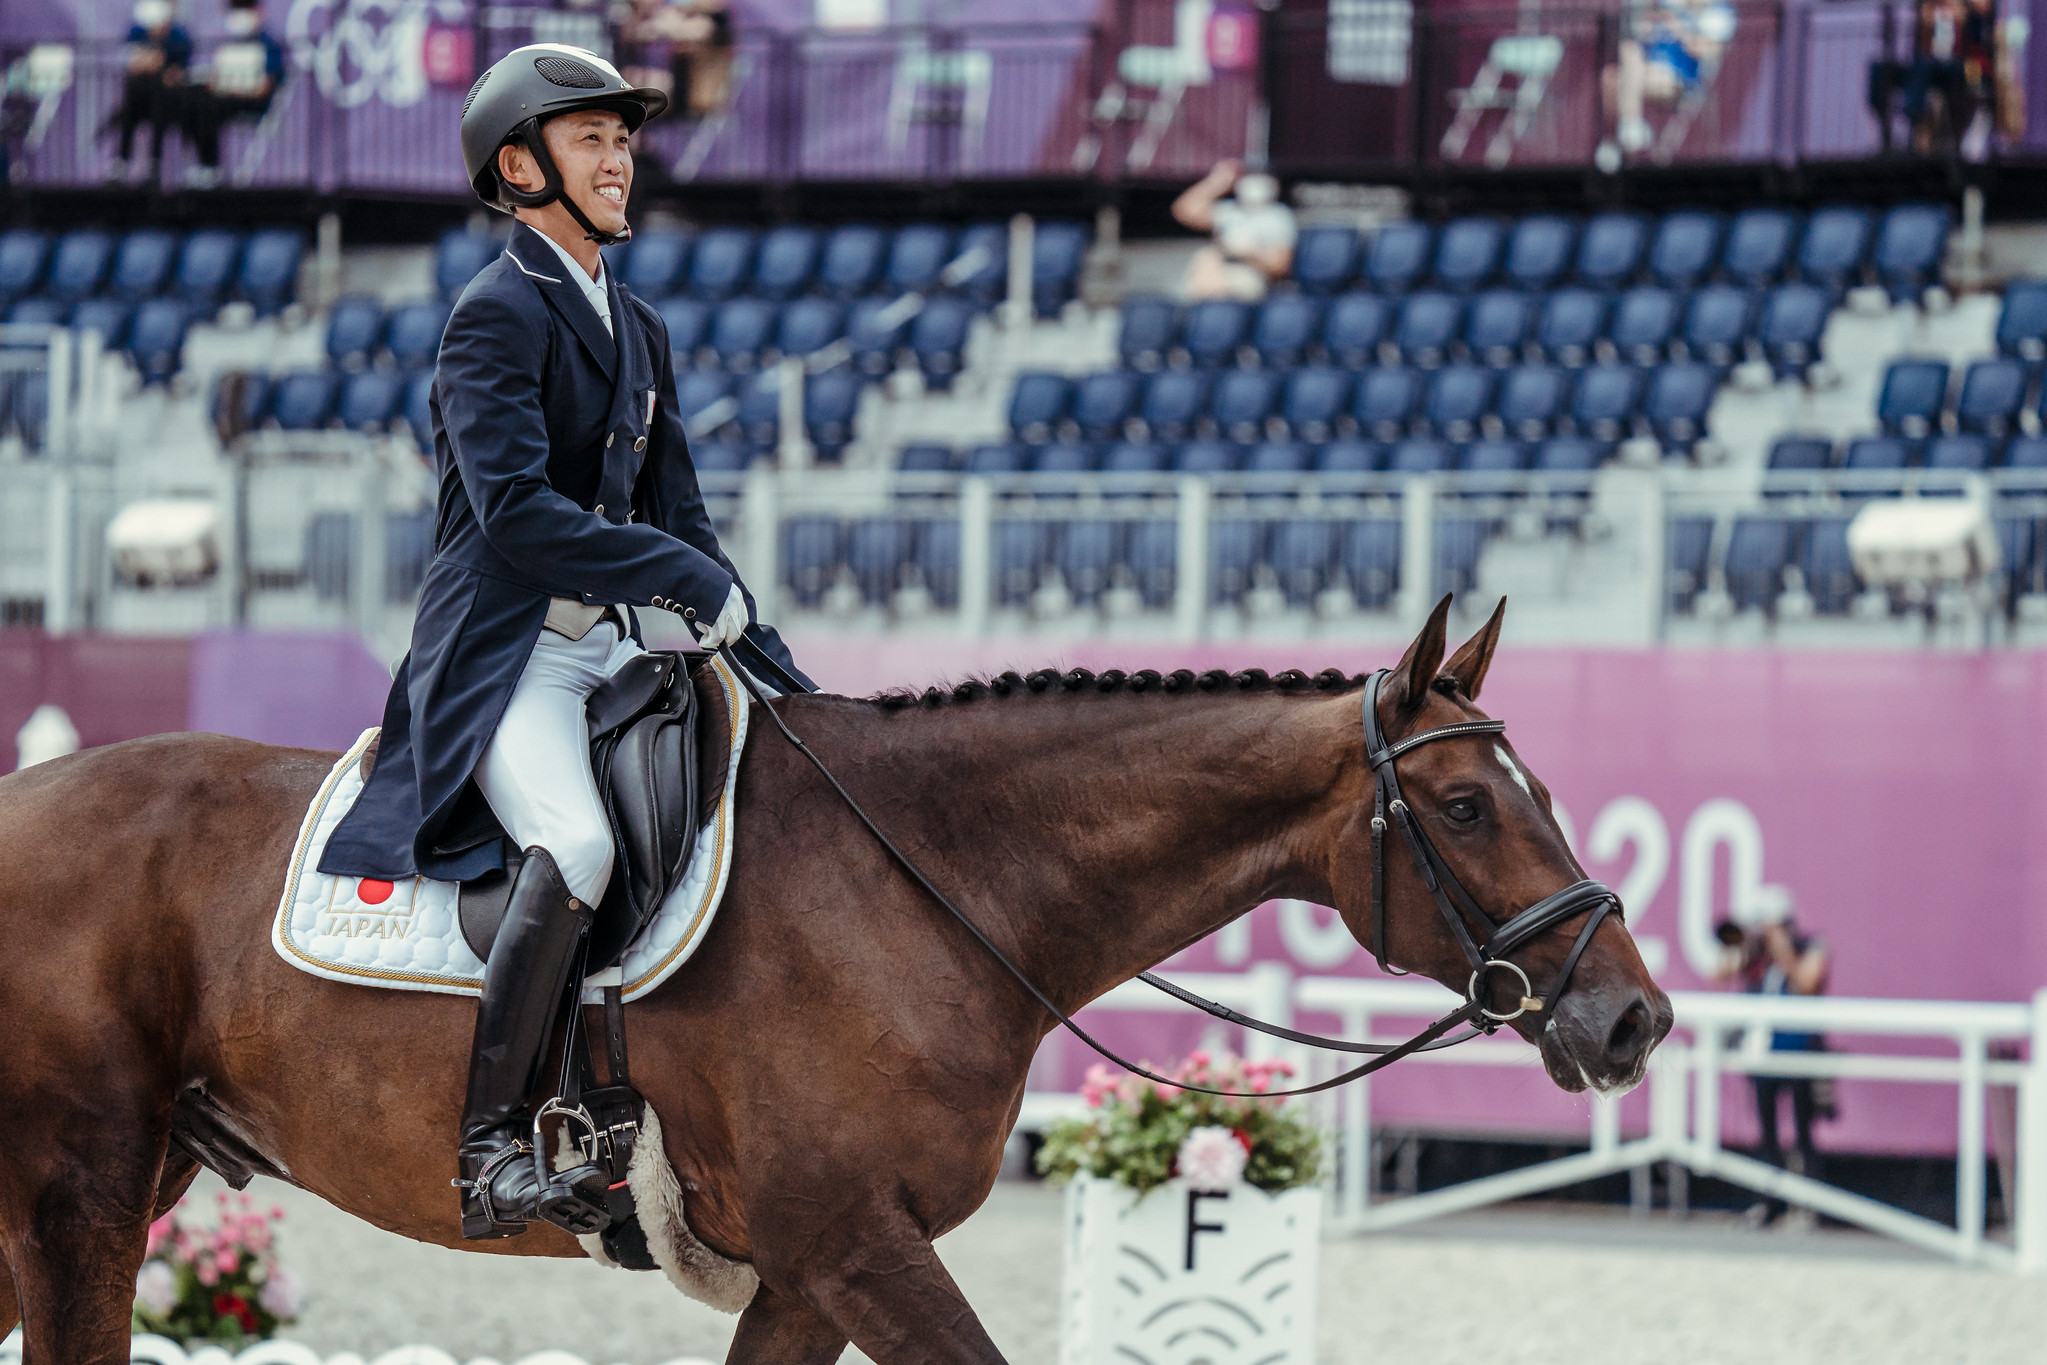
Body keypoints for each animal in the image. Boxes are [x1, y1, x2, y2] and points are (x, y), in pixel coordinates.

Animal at [0, 601, 1662, 1365]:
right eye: (1466, 808)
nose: (1629, 1015)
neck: (933, 876)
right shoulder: (854, 1242)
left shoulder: (809, 1267)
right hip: (81, 1182)